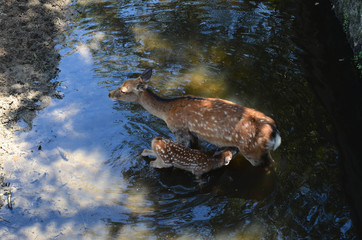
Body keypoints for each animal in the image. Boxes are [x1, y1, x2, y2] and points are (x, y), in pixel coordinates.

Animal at [109, 68, 282, 167]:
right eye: (122, 82)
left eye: (124, 90)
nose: (110, 94)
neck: (167, 112)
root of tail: (274, 132)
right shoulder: (192, 132)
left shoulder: (179, 129)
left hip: (252, 151)